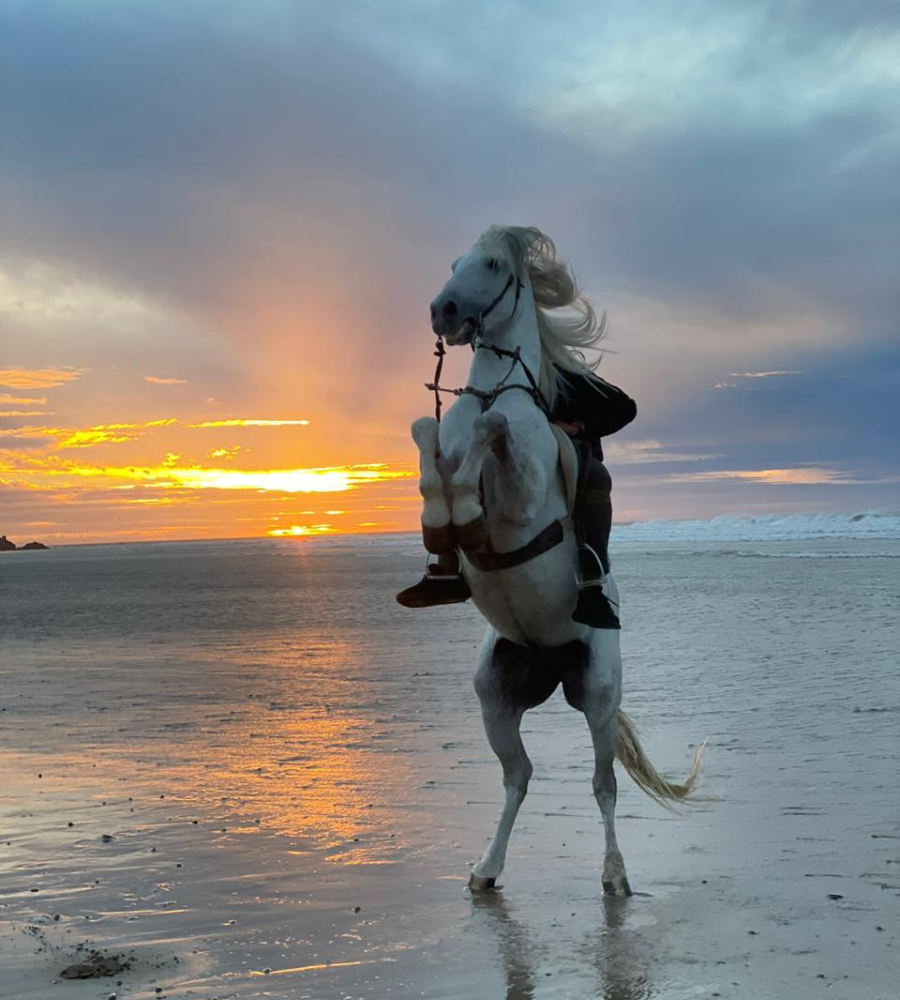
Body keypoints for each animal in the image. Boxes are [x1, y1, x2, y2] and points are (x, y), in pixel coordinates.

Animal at [410, 227, 704, 892]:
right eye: (453, 262)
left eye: (493, 263)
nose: (442, 311)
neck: (497, 387)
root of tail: (550, 659)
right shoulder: (438, 440)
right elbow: (425, 435)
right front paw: (443, 532)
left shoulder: (522, 502)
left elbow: (492, 432)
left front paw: (467, 509)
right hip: (496, 696)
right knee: (518, 777)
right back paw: (486, 869)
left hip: (597, 693)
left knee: (603, 784)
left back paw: (615, 876)